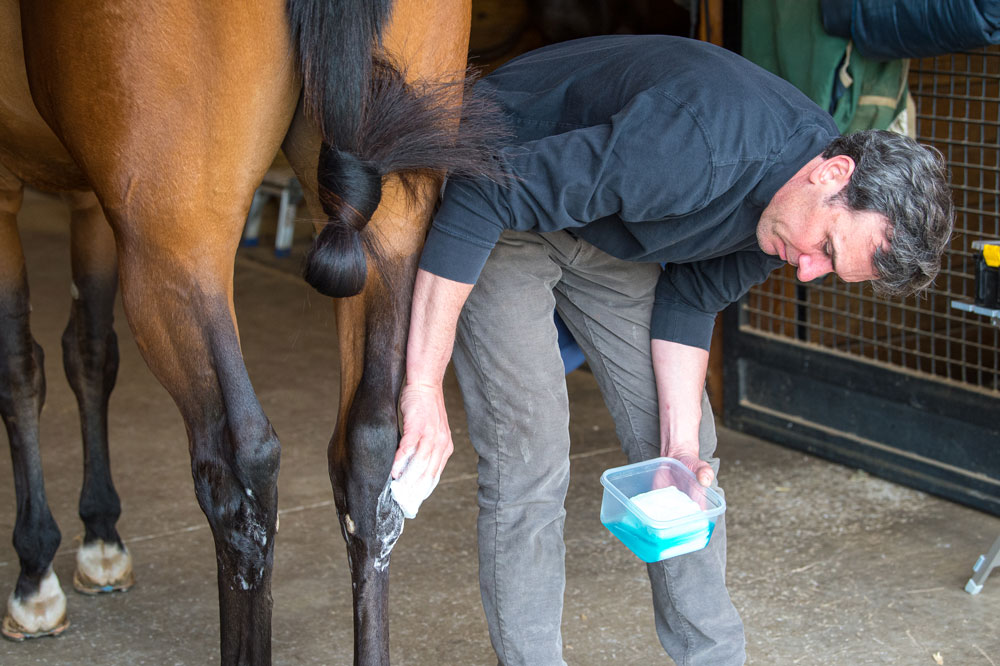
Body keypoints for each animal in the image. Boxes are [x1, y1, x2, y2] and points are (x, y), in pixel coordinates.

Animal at [0, 0, 502, 663]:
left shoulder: (7, 191)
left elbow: (20, 370)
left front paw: (37, 573)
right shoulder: (86, 197)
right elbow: (89, 352)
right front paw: (101, 535)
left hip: (175, 239)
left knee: (240, 469)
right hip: (390, 220)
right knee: (370, 450)